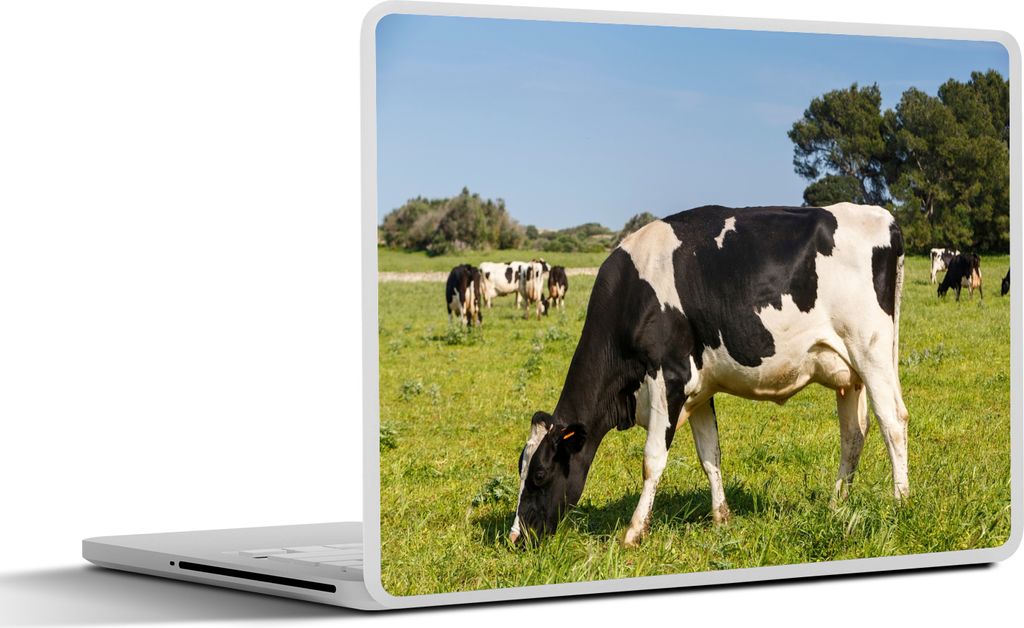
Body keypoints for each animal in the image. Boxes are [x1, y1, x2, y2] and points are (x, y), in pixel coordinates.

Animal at [510, 203, 909, 547]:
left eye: (540, 474)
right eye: (520, 470)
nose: (515, 537)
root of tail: (882, 216)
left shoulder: (668, 378)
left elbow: (652, 460)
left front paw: (634, 532)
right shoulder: (699, 390)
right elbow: (710, 455)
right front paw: (721, 517)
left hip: (871, 351)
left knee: (893, 421)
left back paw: (900, 503)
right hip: (848, 372)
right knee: (853, 434)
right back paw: (836, 504)